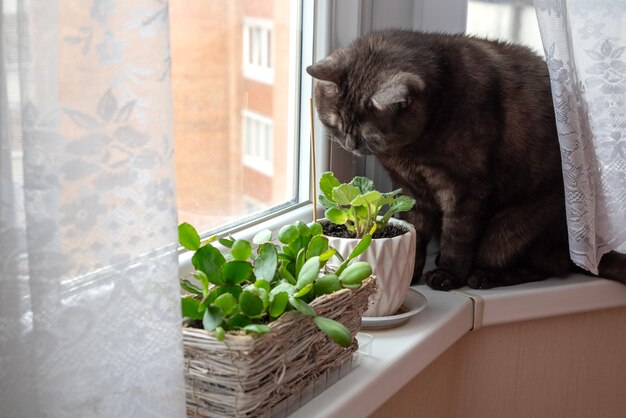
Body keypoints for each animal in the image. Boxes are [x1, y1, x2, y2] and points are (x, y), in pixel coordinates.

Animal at [304, 30, 624, 290]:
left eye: (370, 134)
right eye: (337, 124)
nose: (350, 144)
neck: (413, 150)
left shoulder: (466, 190)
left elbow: (457, 236)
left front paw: (447, 275)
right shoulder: (411, 189)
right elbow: (417, 231)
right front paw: (412, 272)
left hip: (509, 227)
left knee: (542, 266)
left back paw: (482, 276)